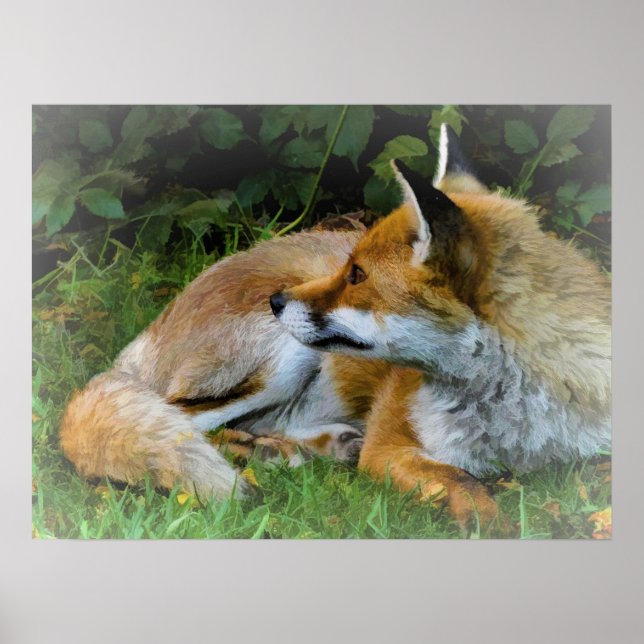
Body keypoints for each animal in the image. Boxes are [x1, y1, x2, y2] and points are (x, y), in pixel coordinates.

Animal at [60, 124, 611, 530]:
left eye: (357, 275)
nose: (277, 300)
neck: (512, 418)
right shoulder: (389, 447)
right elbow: (465, 481)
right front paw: (492, 524)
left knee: (244, 424)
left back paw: (311, 446)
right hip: (285, 360)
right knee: (184, 423)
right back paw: (265, 454)